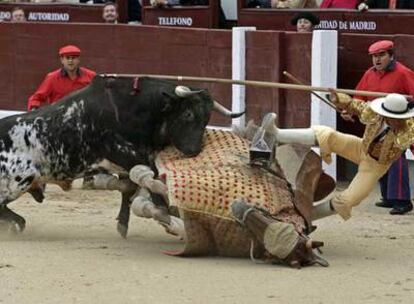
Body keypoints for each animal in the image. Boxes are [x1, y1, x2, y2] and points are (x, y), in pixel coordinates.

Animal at [0, 75, 243, 235]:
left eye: (207, 118)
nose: (194, 151)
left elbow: (129, 188)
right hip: (18, 182)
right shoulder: (128, 155)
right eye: (188, 114)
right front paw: (169, 217)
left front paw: (123, 224)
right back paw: (17, 224)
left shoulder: (132, 162)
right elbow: (153, 183)